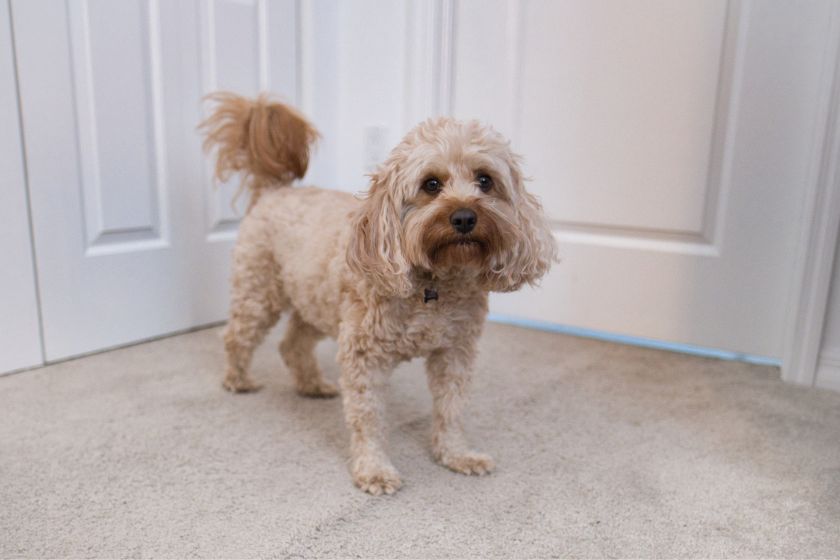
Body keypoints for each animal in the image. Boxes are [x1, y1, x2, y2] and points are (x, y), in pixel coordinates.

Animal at [200, 92, 556, 494]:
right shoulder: (364, 355)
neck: (434, 284)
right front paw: (374, 469)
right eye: (431, 184)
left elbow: (451, 408)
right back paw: (237, 380)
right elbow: (368, 416)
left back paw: (311, 384)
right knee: (236, 336)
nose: (465, 217)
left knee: (292, 344)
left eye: (485, 180)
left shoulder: (455, 352)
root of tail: (275, 191)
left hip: (316, 301)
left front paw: (456, 454)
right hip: (260, 294)